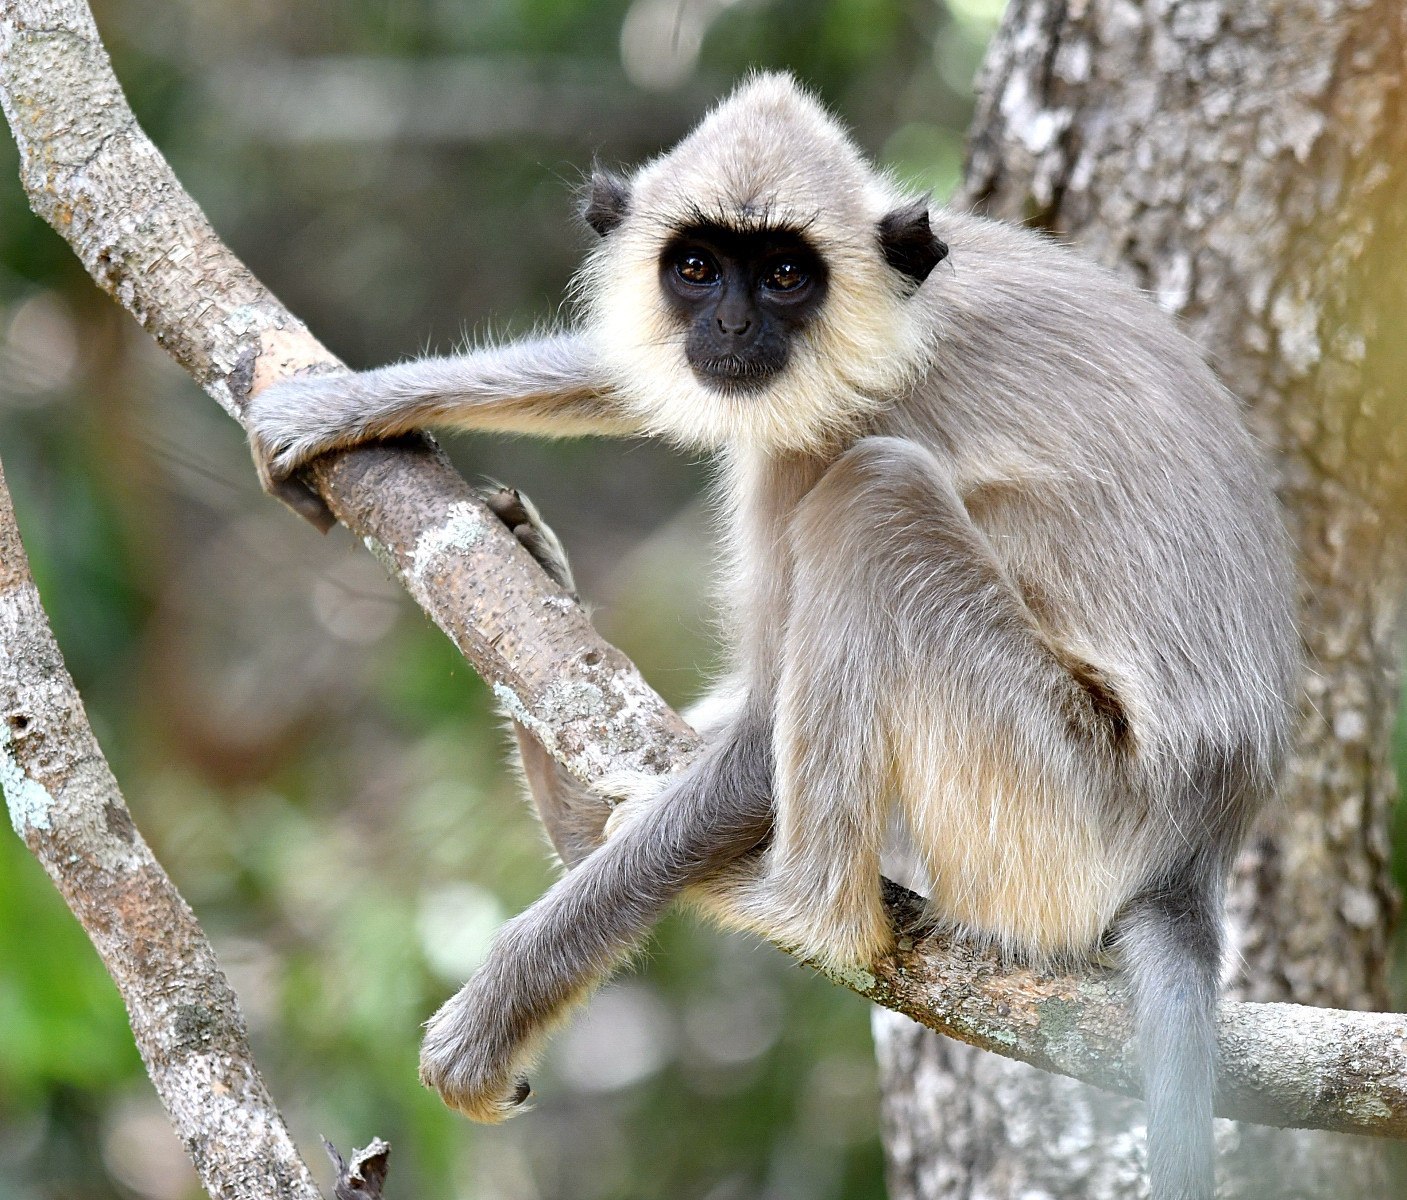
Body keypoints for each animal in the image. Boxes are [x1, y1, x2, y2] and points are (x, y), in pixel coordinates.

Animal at [250, 72, 1294, 1198]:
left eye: (787, 275)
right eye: (698, 269)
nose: (734, 325)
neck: (905, 316)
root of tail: (1196, 850)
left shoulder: (845, 421)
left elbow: (756, 746)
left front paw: (500, 1004)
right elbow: (627, 371)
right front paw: (350, 401)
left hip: (1063, 795)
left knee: (873, 502)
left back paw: (789, 907)